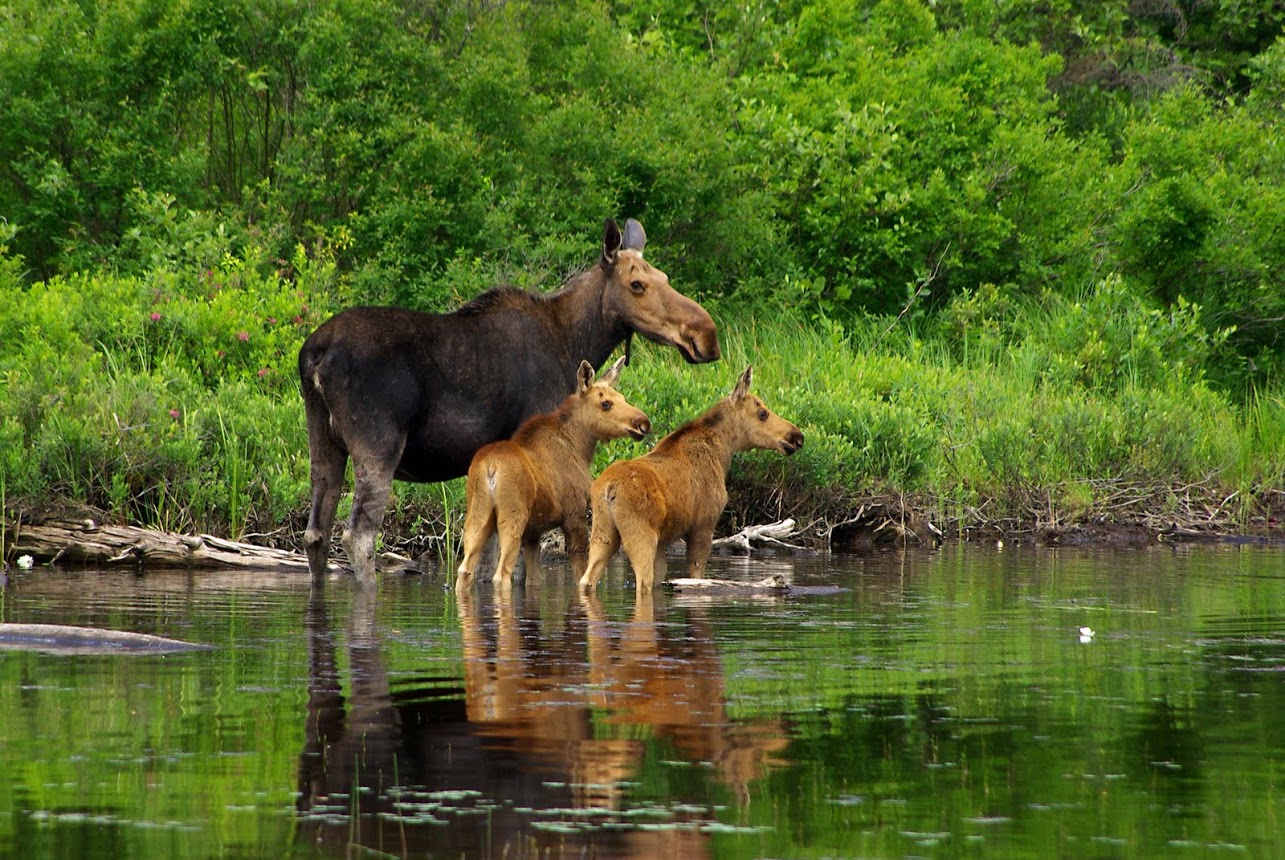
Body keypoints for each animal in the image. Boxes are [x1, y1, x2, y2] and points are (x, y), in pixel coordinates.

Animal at [454, 354, 652, 591]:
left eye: (622, 398)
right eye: (606, 404)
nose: (643, 423)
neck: (581, 448)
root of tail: (491, 468)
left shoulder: (533, 532)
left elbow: (534, 580)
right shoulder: (574, 514)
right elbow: (580, 571)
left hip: (477, 514)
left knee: (464, 569)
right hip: (512, 517)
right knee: (501, 575)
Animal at [580, 365, 801, 593]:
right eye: (762, 413)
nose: (797, 436)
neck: (723, 452)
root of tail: (610, 489)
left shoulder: (663, 541)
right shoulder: (704, 524)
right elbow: (697, 573)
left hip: (602, 532)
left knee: (587, 578)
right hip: (640, 534)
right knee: (642, 581)